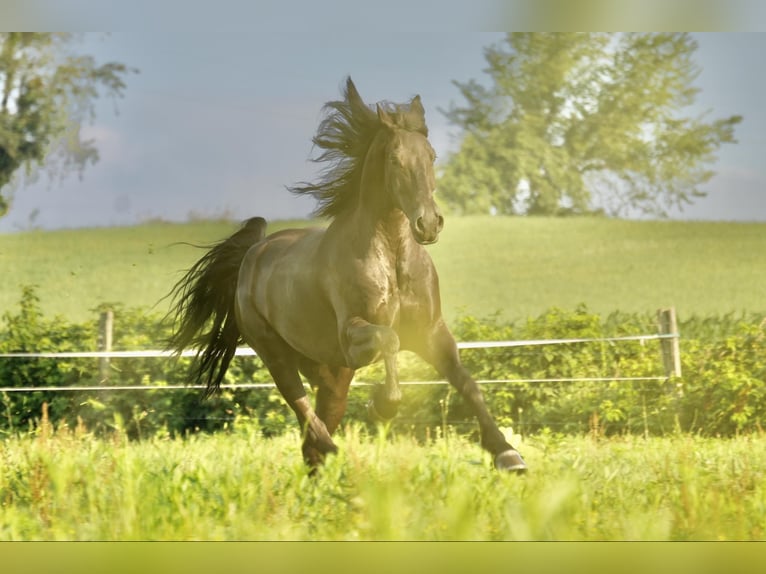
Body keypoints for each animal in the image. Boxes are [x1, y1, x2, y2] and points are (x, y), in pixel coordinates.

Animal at [167, 77, 527, 473]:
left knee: (312, 436)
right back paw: (333, 450)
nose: (429, 224)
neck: (391, 260)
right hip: (276, 355)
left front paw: (507, 453)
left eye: (432, 156)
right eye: (395, 159)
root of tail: (253, 253)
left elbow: (467, 383)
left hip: (329, 374)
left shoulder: (431, 332)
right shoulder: (352, 337)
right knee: (303, 410)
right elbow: (389, 341)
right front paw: (381, 406)